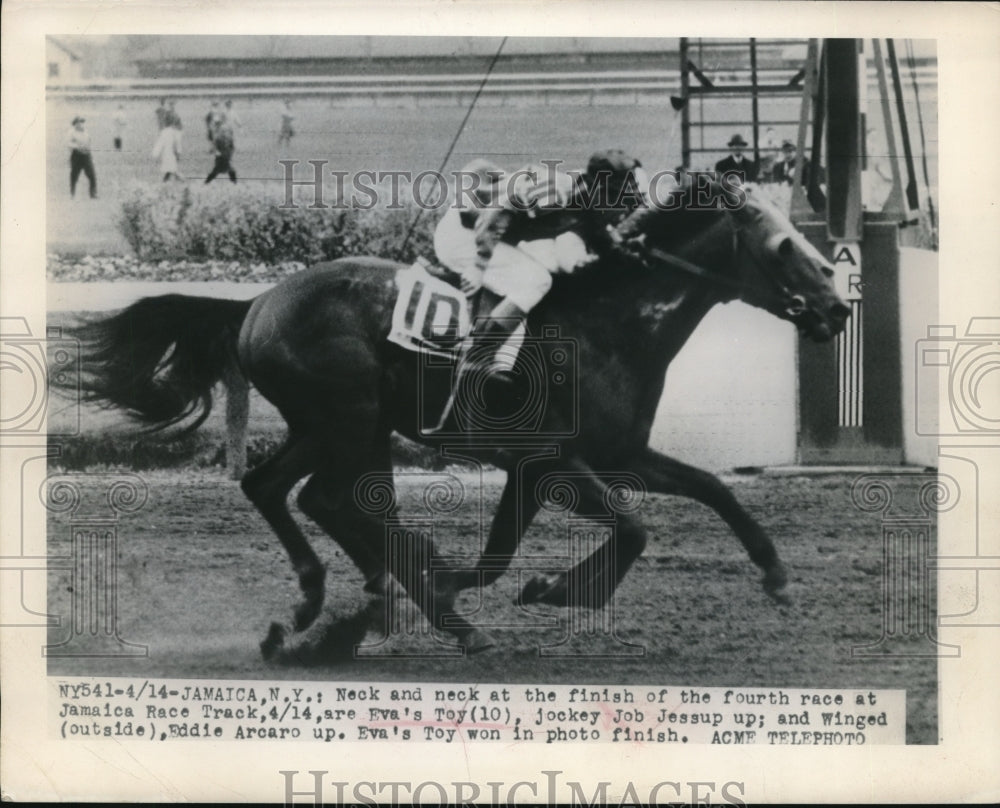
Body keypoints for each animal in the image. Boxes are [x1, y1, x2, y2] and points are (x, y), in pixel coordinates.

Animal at [68, 188, 852, 656]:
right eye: (785, 246)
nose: (838, 307)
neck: (610, 324)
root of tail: (256, 302)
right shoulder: (550, 461)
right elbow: (629, 529)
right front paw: (554, 590)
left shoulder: (605, 455)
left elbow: (711, 490)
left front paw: (778, 576)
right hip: (349, 418)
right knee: (329, 498)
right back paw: (408, 611)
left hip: (335, 425)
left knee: (281, 489)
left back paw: (331, 603)